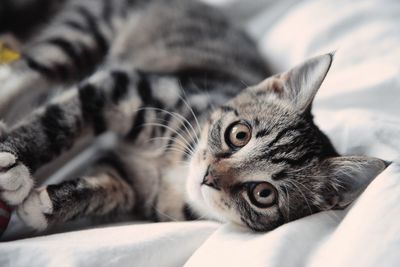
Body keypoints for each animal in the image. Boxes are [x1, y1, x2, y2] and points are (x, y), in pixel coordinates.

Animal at [0, 0, 388, 232]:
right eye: (239, 135)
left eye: (263, 193)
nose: (209, 176)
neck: (173, 169)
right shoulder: (127, 86)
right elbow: (59, 119)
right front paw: (13, 162)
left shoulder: (136, 190)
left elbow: (110, 188)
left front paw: (47, 204)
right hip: (89, 28)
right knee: (30, 70)